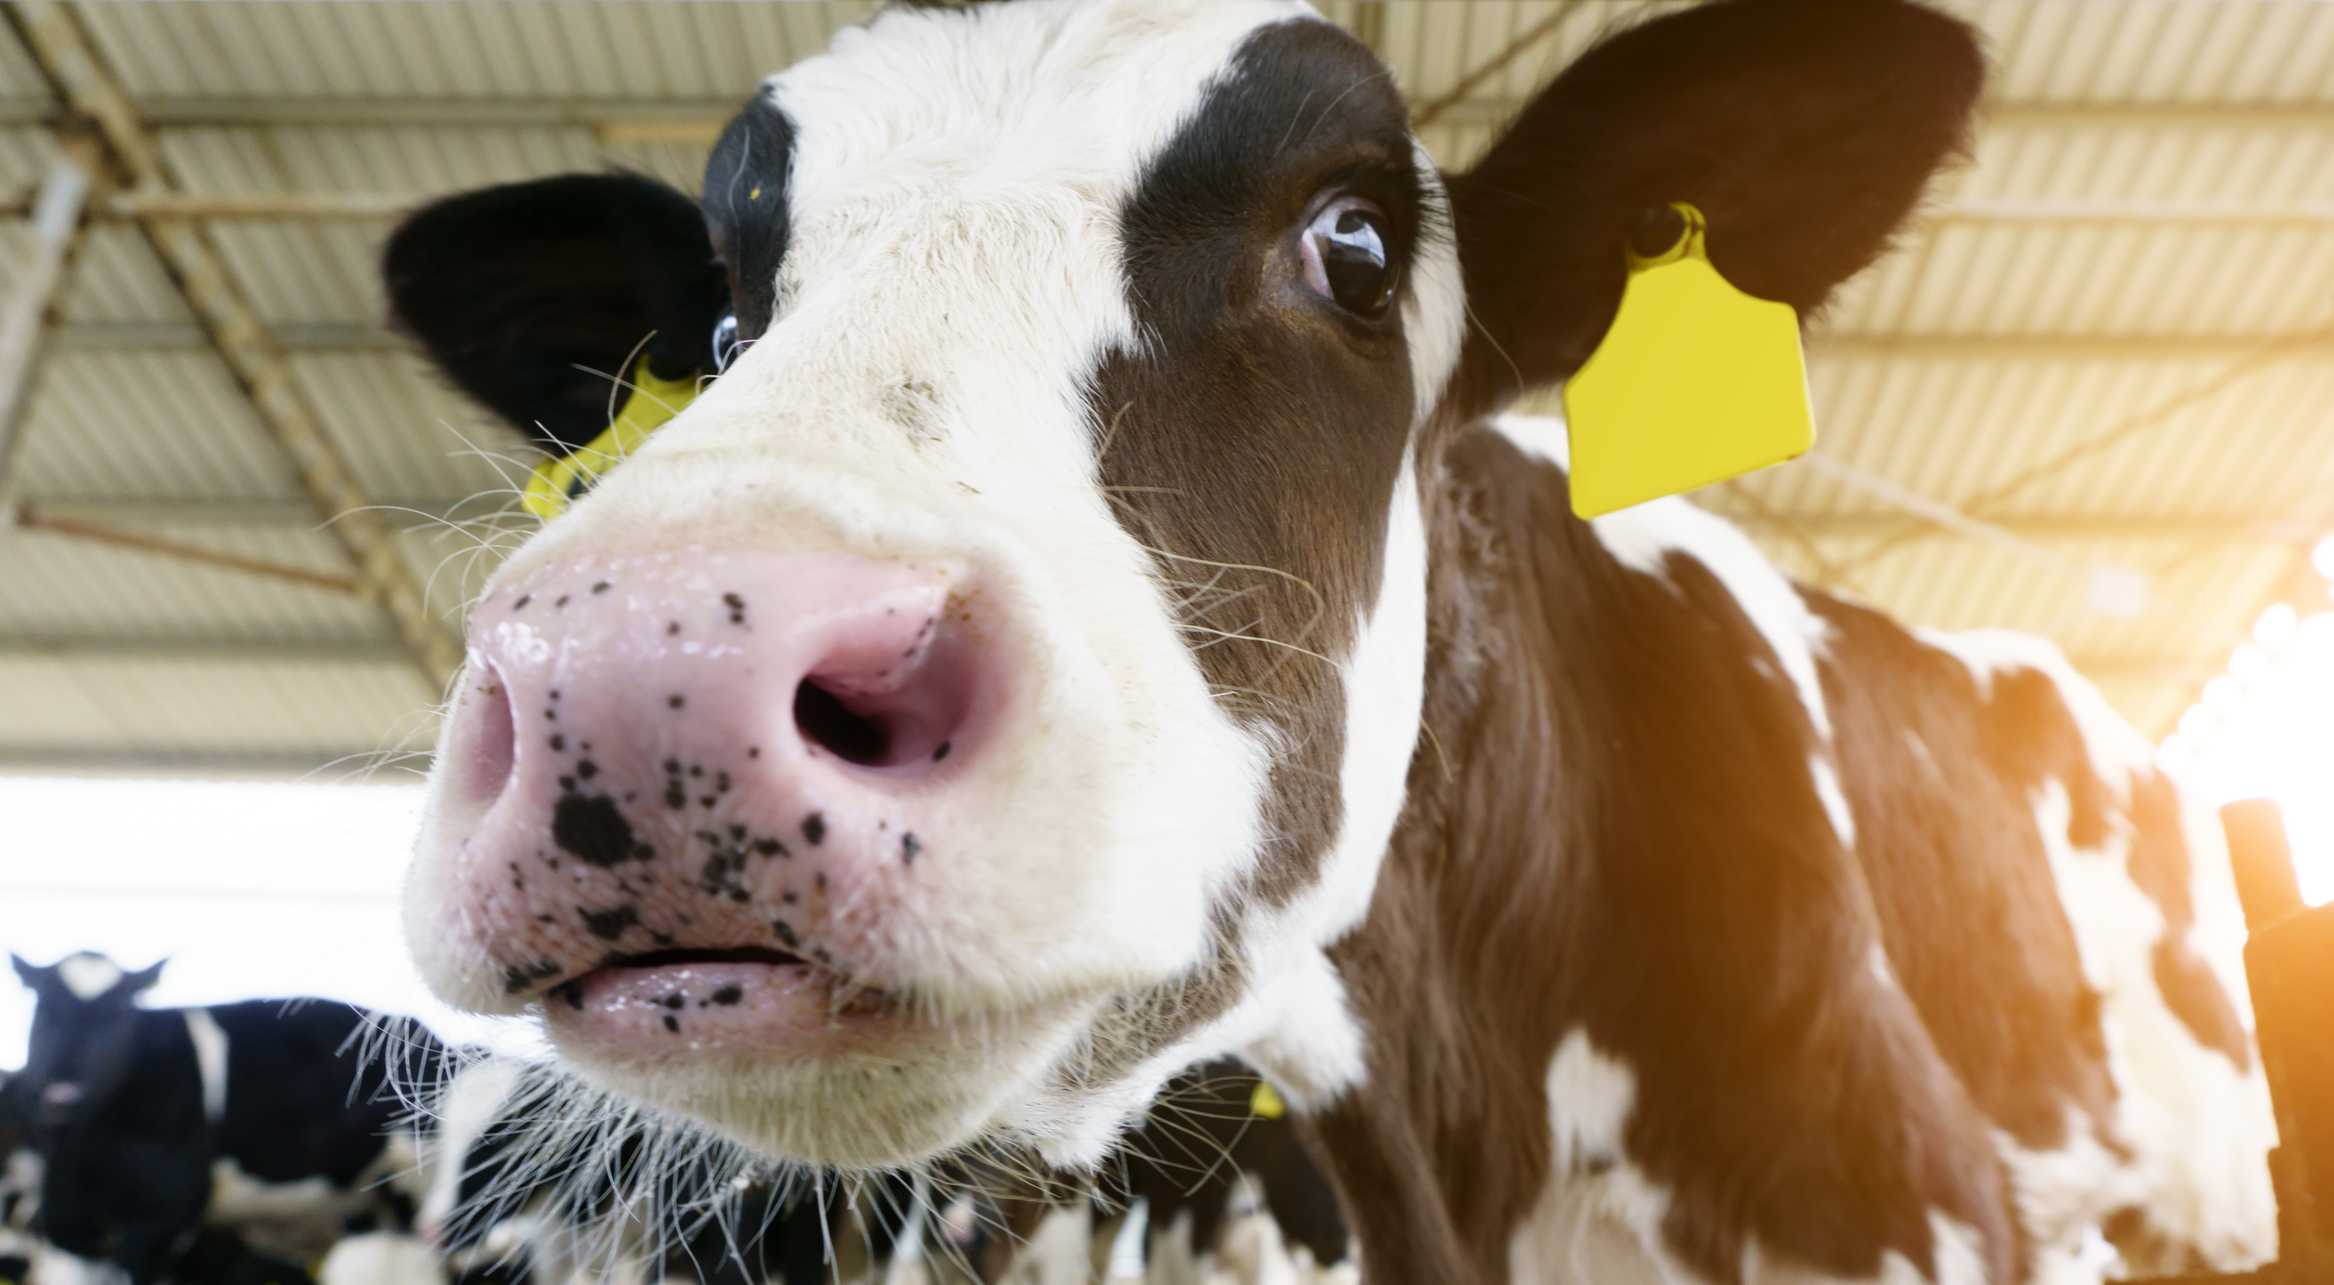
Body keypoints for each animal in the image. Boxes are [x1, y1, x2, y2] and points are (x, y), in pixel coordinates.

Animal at [9, 955, 445, 1285]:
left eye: (118, 1017)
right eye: (43, 1013)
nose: (63, 1094)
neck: (79, 1154)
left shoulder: (164, 1214)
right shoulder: (66, 1228)